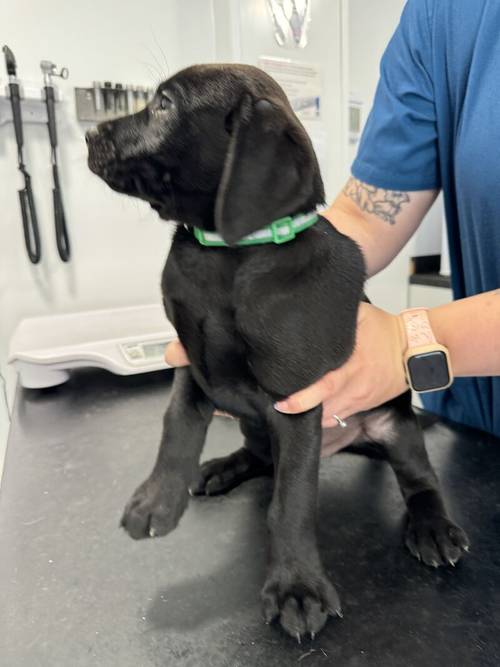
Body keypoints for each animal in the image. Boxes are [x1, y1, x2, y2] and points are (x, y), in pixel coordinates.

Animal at [87, 64, 468, 640]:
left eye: (164, 105)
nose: (89, 134)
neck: (227, 255)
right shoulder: (191, 362)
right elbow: (176, 428)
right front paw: (157, 500)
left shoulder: (296, 402)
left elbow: (290, 504)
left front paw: (296, 588)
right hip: (253, 424)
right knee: (259, 457)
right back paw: (221, 467)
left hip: (395, 424)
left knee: (419, 479)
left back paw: (433, 526)